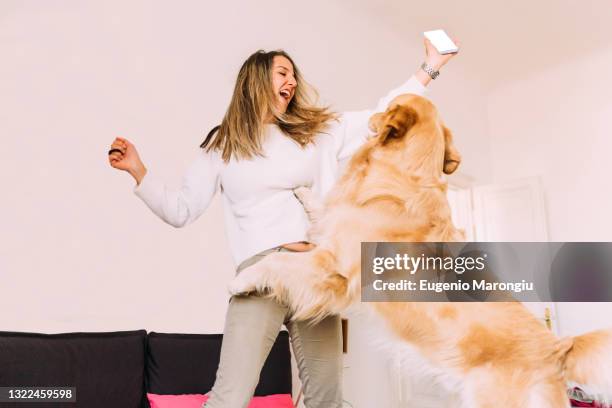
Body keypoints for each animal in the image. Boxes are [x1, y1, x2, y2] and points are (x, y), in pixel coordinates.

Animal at [228, 95, 612, 404]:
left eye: (387, 105)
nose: (367, 116)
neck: (406, 180)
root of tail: (559, 347)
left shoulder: (332, 264)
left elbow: (276, 261)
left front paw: (240, 280)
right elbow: (322, 208)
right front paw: (304, 193)